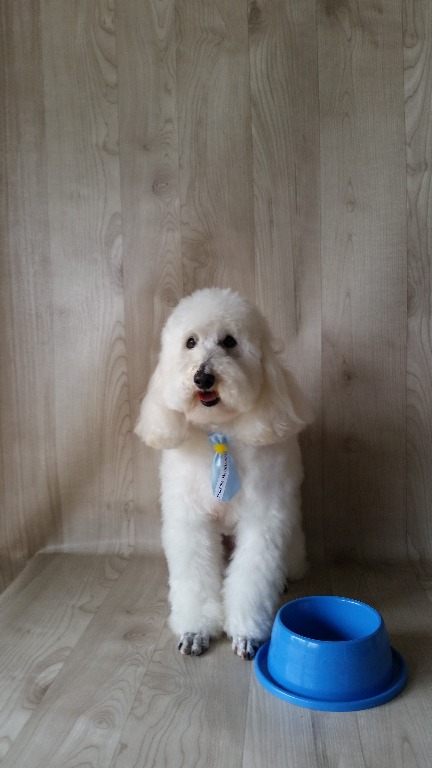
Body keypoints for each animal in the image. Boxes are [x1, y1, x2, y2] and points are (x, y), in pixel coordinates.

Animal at [135, 288, 311, 659]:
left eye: (229, 341)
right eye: (190, 342)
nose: (202, 377)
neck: (220, 432)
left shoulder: (263, 521)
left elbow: (253, 578)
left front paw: (247, 632)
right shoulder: (189, 521)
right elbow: (195, 577)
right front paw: (196, 630)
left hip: (291, 537)